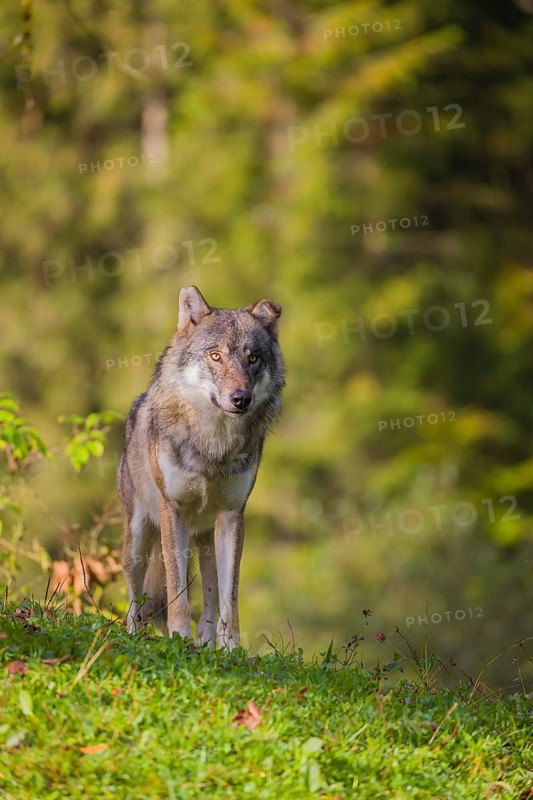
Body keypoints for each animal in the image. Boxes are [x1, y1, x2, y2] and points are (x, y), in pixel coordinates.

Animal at [118, 286, 284, 648]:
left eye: (252, 358)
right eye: (216, 356)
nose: (240, 399)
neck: (213, 445)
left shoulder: (233, 516)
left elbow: (229, 598)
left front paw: (232, 647)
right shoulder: (173, 511)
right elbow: (178, 594)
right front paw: (178, 637)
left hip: (207, 538)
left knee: (210, 595)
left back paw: (207, 642)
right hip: (138, 541)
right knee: (134, 598)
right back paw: (135, 635)